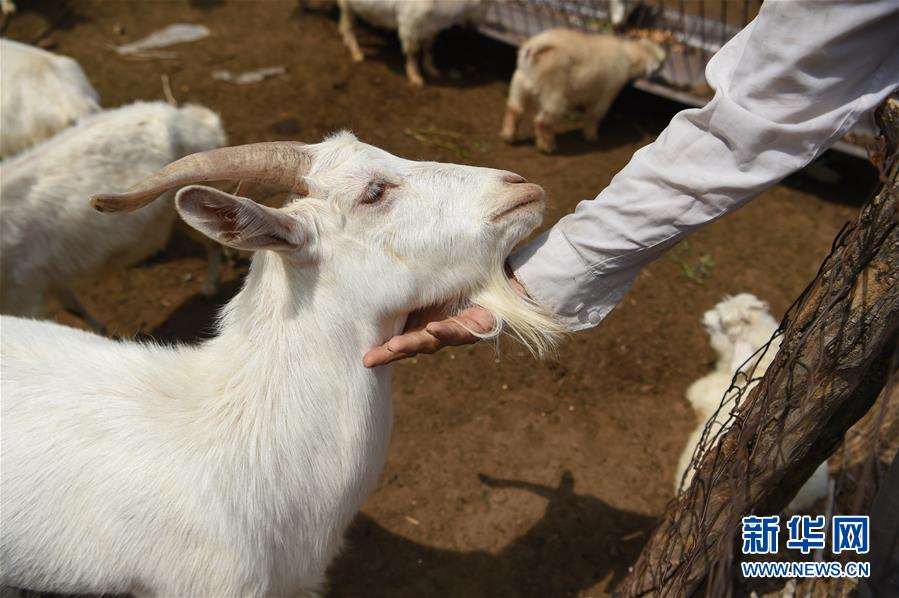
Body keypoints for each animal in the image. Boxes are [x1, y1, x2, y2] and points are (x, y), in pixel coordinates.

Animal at [0, 101, 227, 332]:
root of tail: (192, 119)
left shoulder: (24, 294)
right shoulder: (48, 278)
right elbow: (73, 307)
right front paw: (101, 330)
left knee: (213, 244)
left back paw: (209, 286)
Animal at [334, 0, 484, 87]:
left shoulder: (431, 28)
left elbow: (429, 47)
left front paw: (431, 69)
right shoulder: (409, 23)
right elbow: (414, 52)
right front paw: (415, 77)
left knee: (344, 23)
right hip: (348, 5)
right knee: (348, 26)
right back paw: (356, 52)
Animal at [499, 29, 666, 152]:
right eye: (660, 62)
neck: (626, 55)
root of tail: (535, 46)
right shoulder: (606, 93)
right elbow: (594, 115)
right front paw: (591, 136)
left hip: (519, 82)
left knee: (514, 110)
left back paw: (508, 136)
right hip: (553, 92)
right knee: (542, 121)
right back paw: (547, 146)